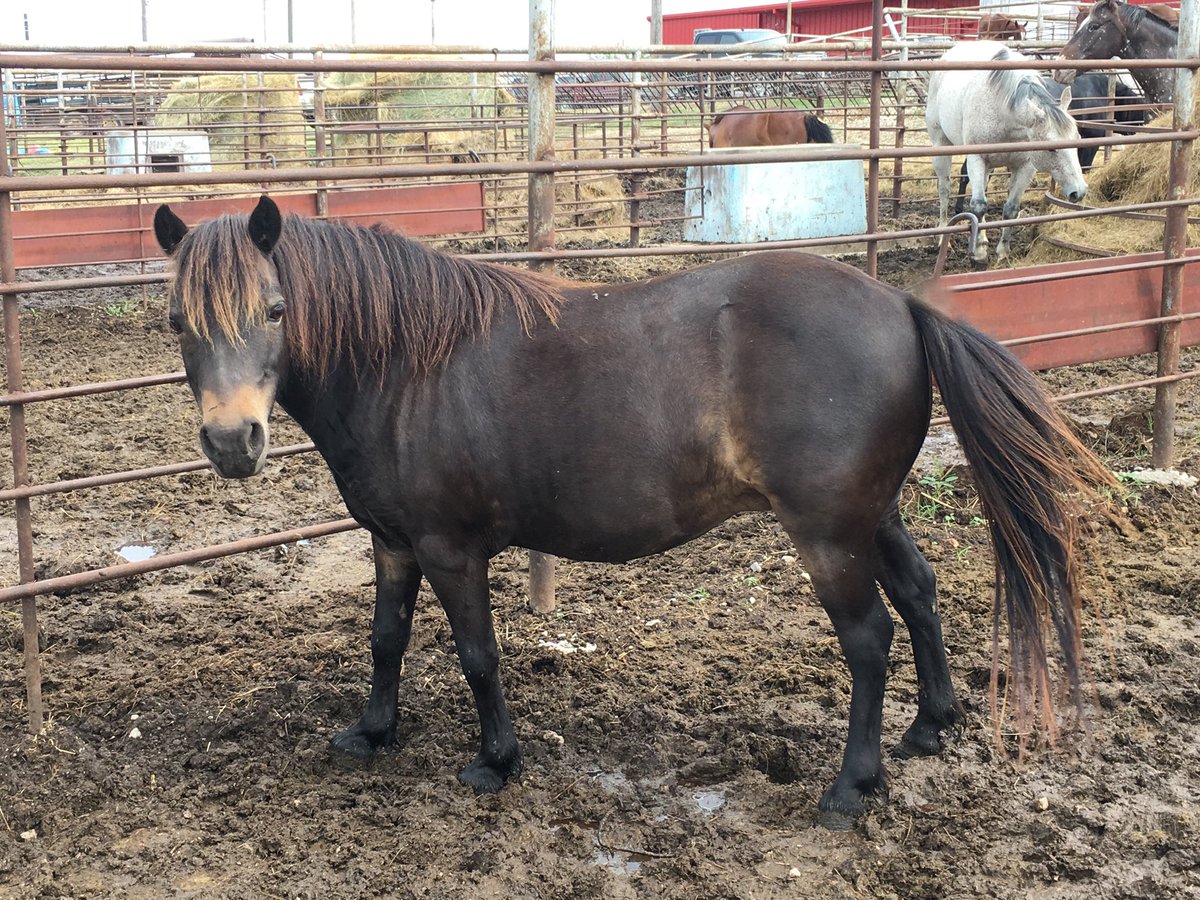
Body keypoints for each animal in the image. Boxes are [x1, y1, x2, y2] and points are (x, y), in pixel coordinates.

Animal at [152, 195, 1114, 831]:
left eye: (276, 310)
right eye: (176, 321)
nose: (233, 441)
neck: (405, 366)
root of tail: (902, 306)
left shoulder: (451, 549)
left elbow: (477, 655)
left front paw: (495, 763)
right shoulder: (391, 543)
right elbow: (386, 638)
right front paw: (372, 732)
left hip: (828, 534)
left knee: (869, 638)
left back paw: (850, 788)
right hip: (872, 516)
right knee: (920, 593)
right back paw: (930, 728)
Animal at [926, 41, 1089, 263]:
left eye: (1078, 140)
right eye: (1051, 148)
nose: (1079, 192)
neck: (1004, 113)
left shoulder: (1025, 166)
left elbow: (1011, 209)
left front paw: (1002, 252)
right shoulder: (976, 159)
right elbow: (978, 205)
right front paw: (979, 253)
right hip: (941, 145)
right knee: (944, 189)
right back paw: (944, 237)